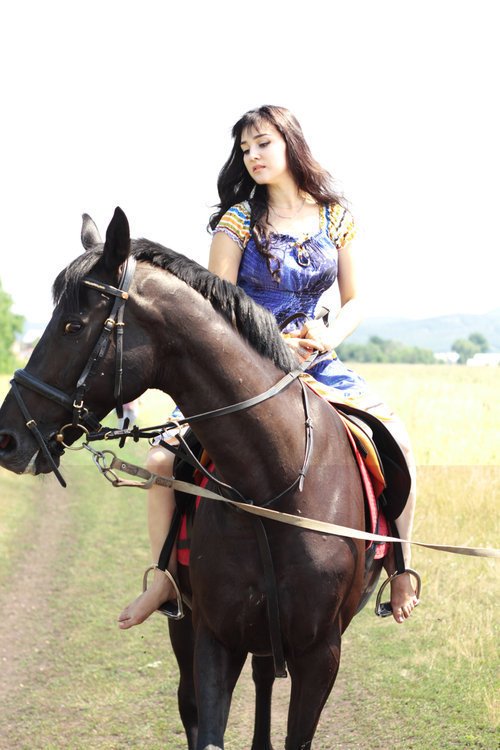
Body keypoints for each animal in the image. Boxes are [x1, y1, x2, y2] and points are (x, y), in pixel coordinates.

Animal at [0, 207, 385, 750]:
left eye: (73, 326)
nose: (7, 438)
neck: (272, 488)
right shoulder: (213, 638)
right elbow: (207, 729)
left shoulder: (321, 653)